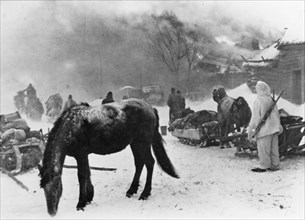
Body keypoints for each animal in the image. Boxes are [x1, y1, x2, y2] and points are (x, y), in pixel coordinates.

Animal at [38, 99, 178, 217]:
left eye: (57, 188)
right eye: (43, 189)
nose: (51, 212)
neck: (71, 126)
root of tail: (151, 108)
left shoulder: (81, 154)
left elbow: (82, 175)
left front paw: (81, 203)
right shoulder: (84, 155)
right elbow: (88, 172)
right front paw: (89, 196)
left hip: (142, 142)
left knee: (149, 163)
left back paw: (145, 193)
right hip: (135, 143)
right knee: (139, 163)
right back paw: (131, 190)